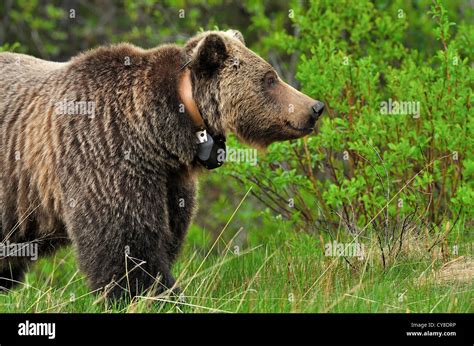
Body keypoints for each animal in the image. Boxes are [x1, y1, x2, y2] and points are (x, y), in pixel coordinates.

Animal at [0, 29, 322, 298]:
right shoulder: (104, 151)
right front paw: (156, 293)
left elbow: (168, 233)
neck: (157, 136)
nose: (315, 107)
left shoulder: (171, 180)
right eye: (270, 78)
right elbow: (126, 241)